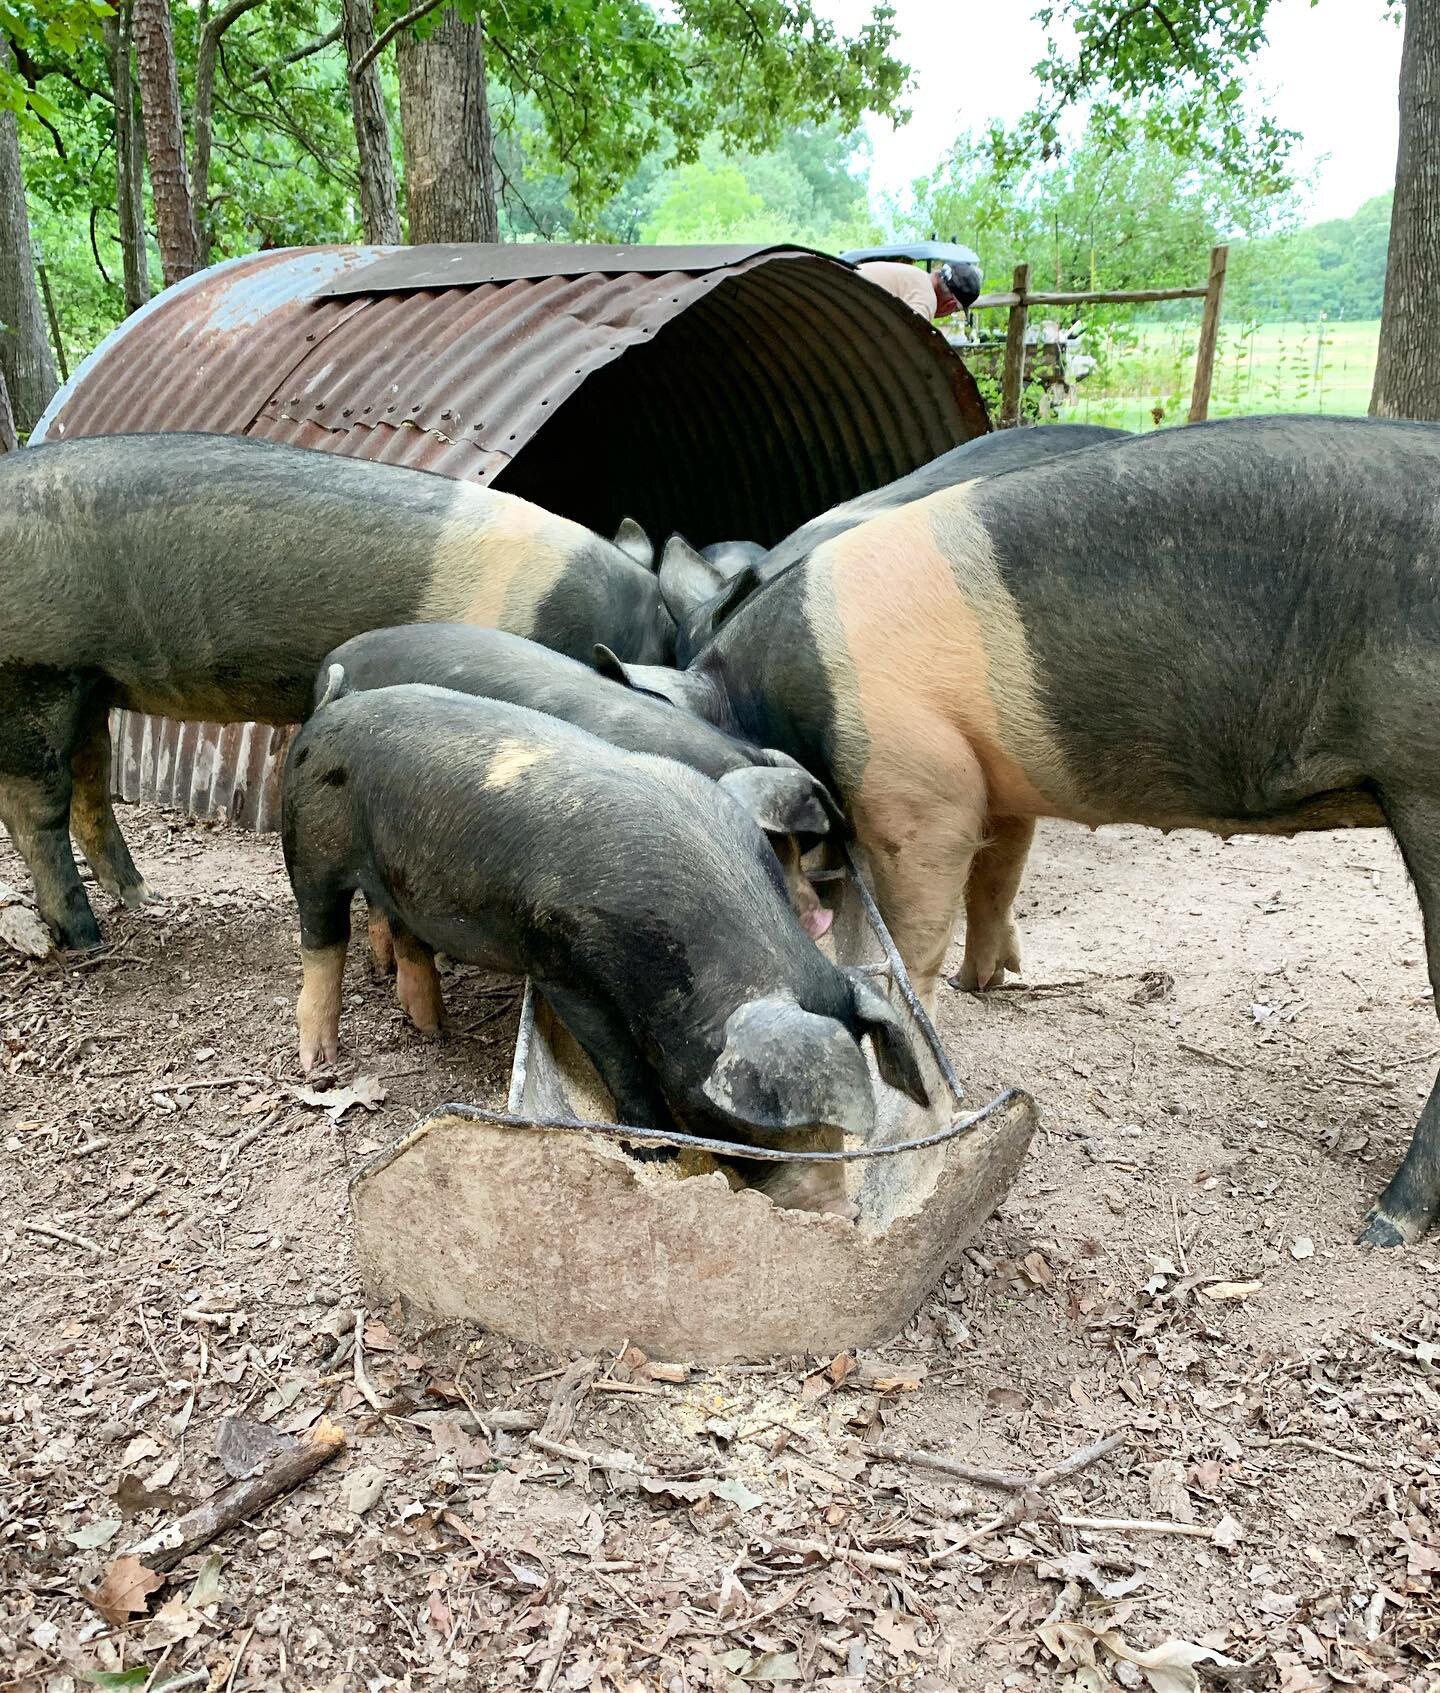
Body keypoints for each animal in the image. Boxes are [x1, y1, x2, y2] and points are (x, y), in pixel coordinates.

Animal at [0, 431, 675, 952]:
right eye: (671, 646)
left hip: (91, 682)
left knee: (90, 785)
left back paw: (146, 897)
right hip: (35, 672)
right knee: (35, 806)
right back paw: (86, 939)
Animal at [281, 683, 928, 1210]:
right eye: (746, 1117)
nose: (837, 1210)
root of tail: (329, 707)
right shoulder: (563, 969)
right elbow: (617, 1057)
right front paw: (651, 1153)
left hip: (400, 876)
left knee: (405, 933)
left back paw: (432, 1027)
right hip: (310, 844)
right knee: (321, 942)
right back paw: (320, 1062)